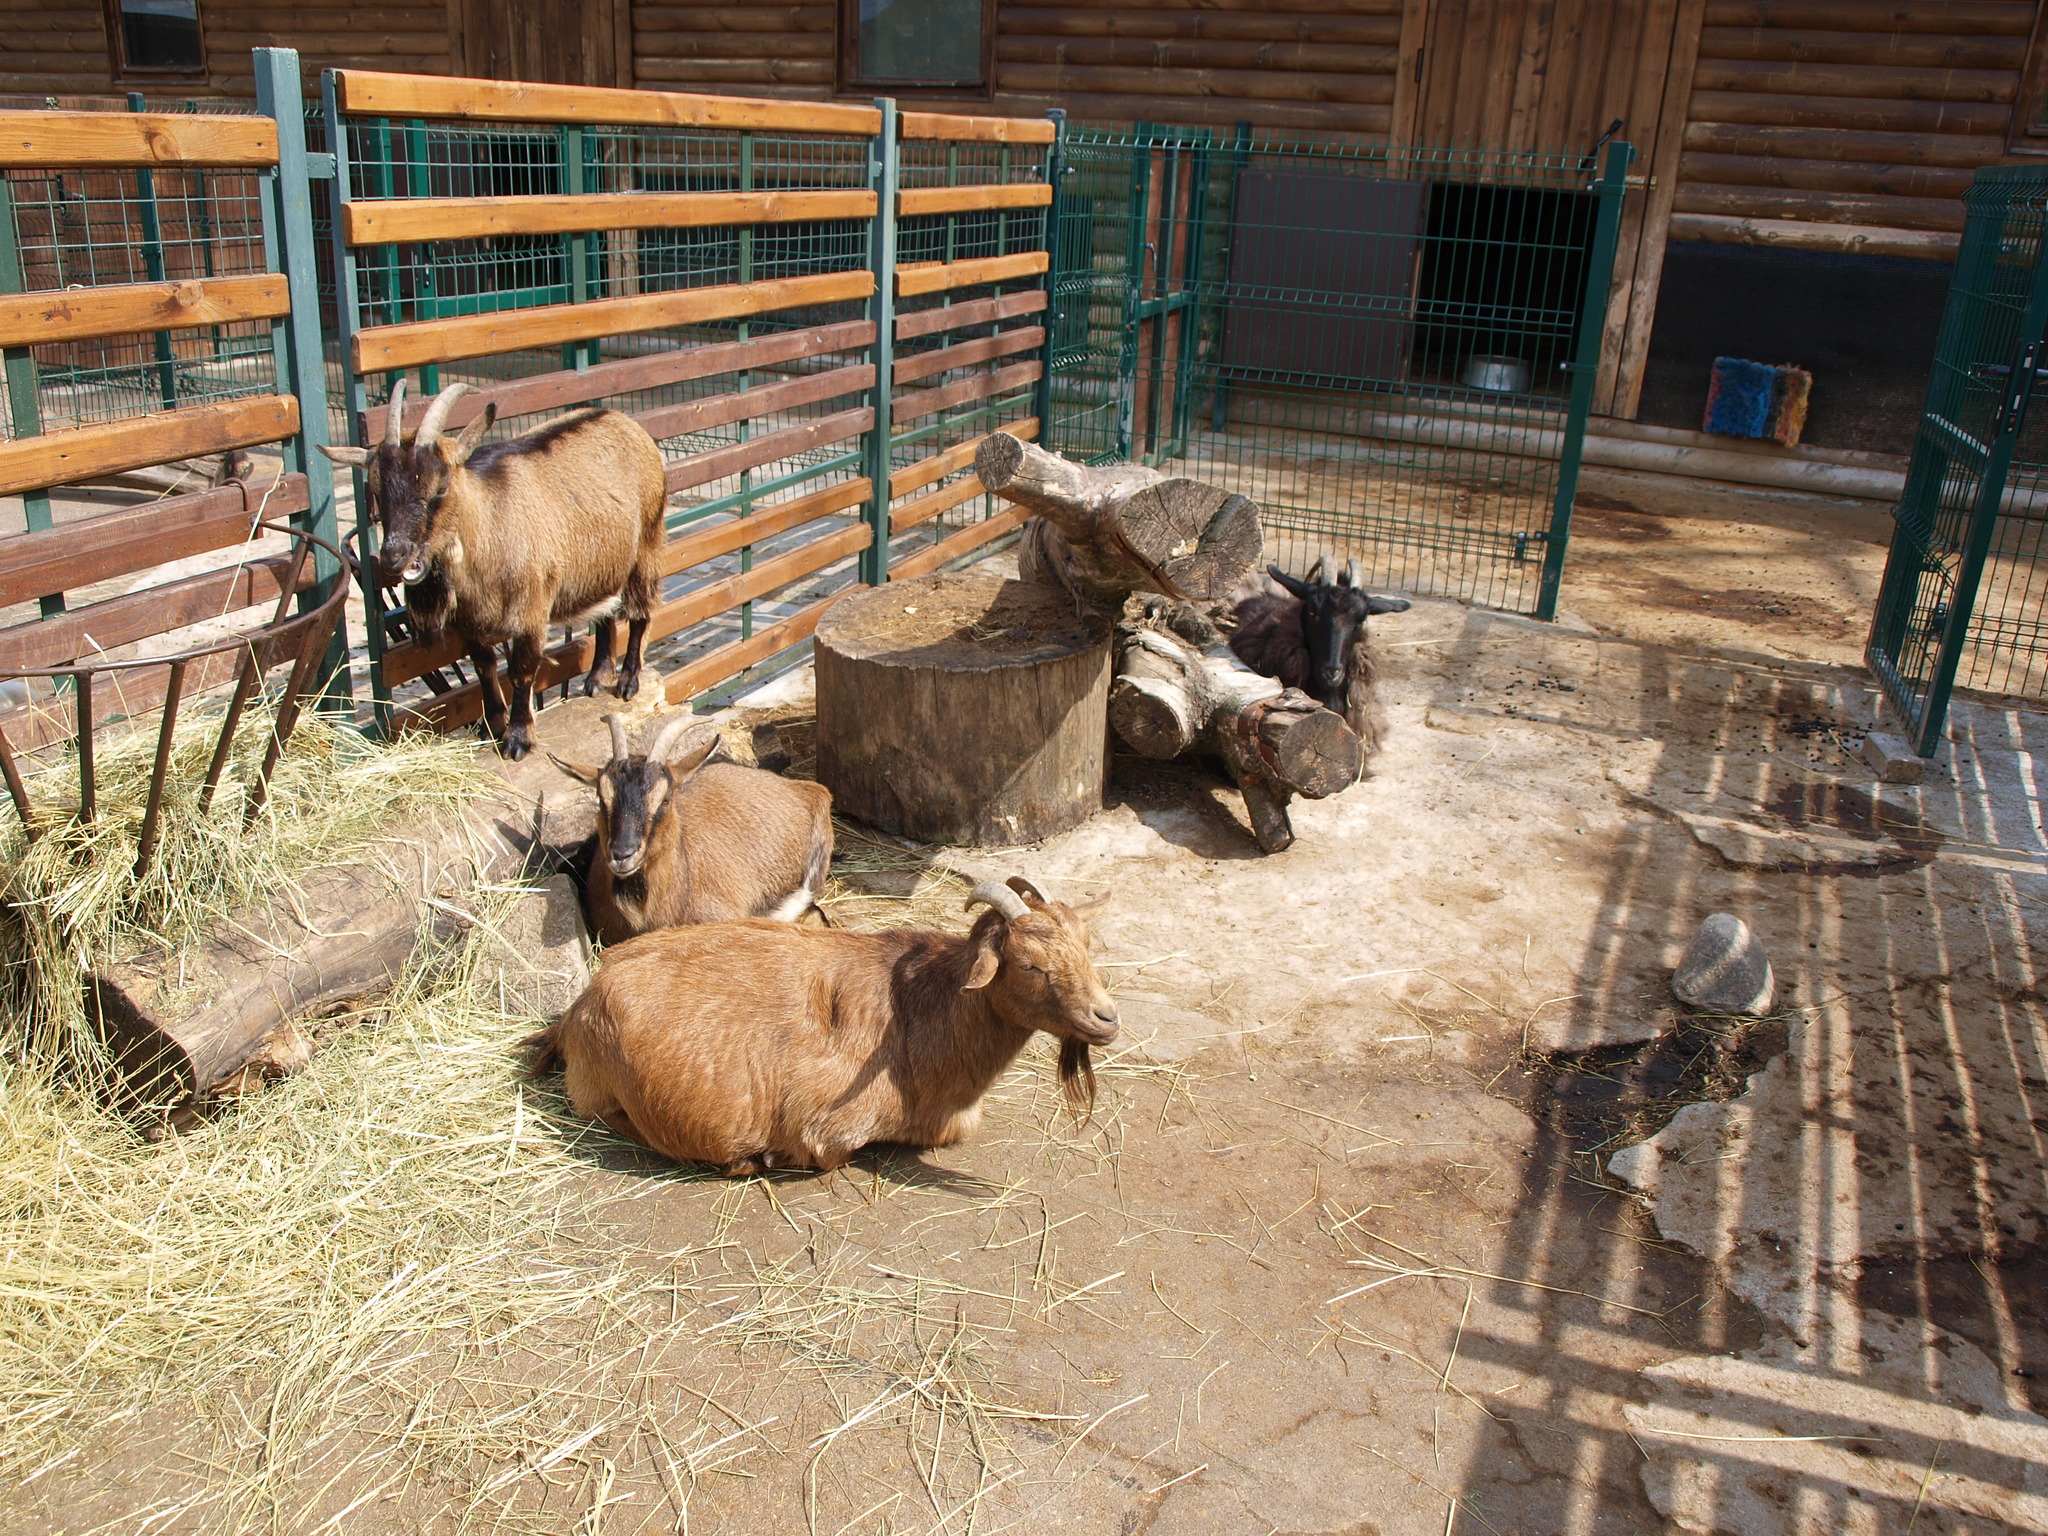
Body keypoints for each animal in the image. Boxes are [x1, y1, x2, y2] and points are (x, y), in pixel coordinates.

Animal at [321, 380, 663, 765]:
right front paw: (492, 727)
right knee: (605, 613)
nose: (395, 556)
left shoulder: (531, 612)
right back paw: (596, 679)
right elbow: (484, 667)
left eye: (440, 486)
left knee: (640, 612)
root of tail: (625, 421)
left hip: (646, 546)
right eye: (378, 490)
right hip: (604, 562)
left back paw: (627, 682)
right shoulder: (469, 622)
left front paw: (518, 739)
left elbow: (521, 671)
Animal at [520, 876, 1114, 1179]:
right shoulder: (825, 1125)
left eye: (1088, 945)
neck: (920, 1012)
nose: (1106, 1018)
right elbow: (827, 1154)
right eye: (1030, 965)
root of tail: (579, 1008)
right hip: (609, 1098)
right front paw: (768, 1156)